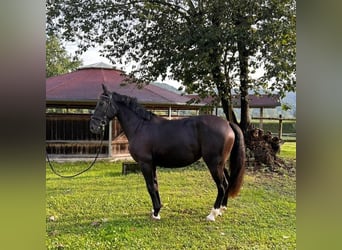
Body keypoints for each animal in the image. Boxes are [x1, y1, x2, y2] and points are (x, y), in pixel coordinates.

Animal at [90, 84, 246, 221]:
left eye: (102, 103)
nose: (93, 126)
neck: (140, 127)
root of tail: (227, 123)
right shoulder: (152, 164)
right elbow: (155, 185)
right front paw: (156, 209)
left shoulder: (145, 163)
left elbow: (150, 187)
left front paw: (156, 213)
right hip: (220, 163)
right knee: (227, 181)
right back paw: (221, 209)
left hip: (213, 163)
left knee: (222, 185)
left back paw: (212, 214)